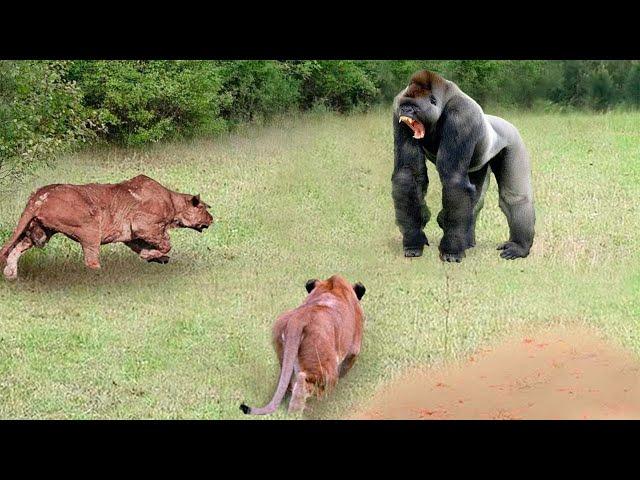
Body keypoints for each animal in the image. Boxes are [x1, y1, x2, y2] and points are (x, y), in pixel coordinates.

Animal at [390, 70, 536, 262]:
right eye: (404, 105)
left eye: (413, 107)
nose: (405, 111)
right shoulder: (396, 109)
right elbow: (408, 173)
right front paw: (414, 240)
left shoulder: (461, 116)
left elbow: (453, 179)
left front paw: (451, 250)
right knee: (475, 199)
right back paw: (467, 240)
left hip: (513, 138)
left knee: (515, 197)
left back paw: (519, 246)